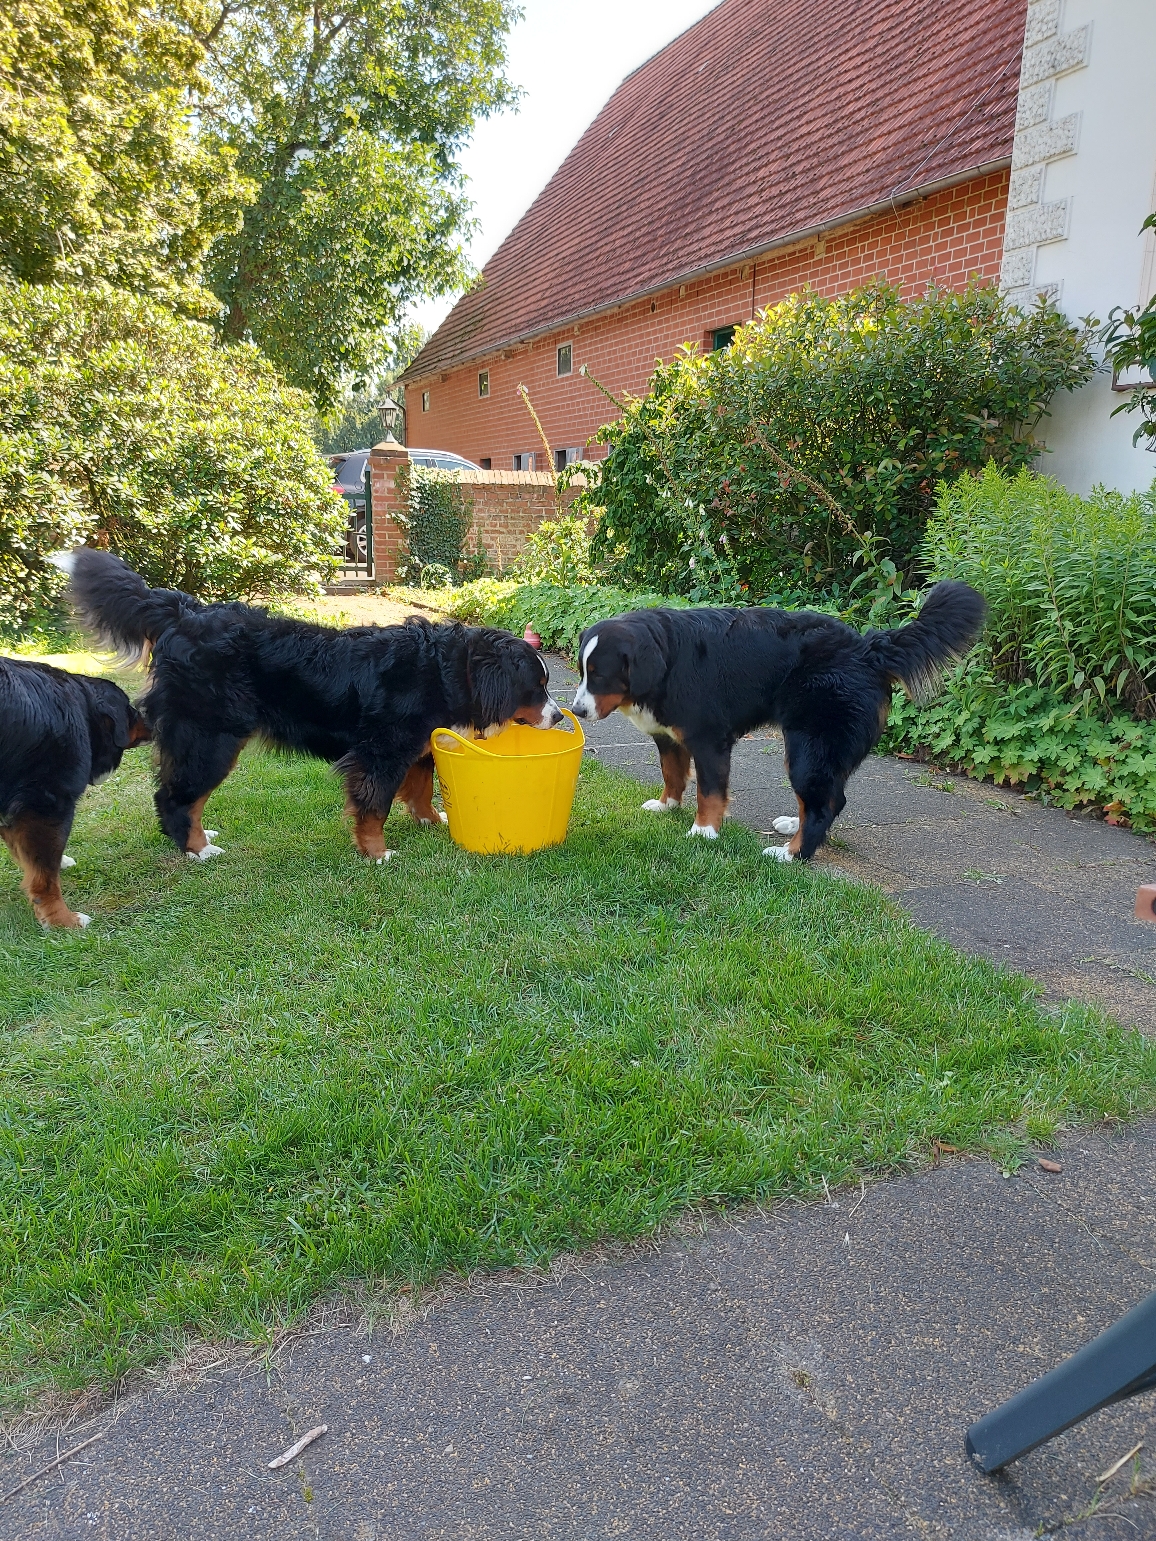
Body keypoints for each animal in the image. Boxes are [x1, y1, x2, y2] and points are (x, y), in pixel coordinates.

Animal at [1, 653, 151, 924]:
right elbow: (45, 876)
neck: (84, 709)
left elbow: (30, 856)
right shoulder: (46, 804)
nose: (152, 720)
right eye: (130, 710)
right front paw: (61, 919)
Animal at [56, 545, 564, 862]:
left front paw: (430, 821)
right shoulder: (380, 752)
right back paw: (198, 849)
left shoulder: (417, 747)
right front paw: (377, 852)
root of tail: (185, 613)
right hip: (211, 737)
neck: (444, 669)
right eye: (536, 687)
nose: (560, 714)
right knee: (176, 795)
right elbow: (374, 805)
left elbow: (420, 787)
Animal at [570, 579, 986, 862]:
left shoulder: (709, 740)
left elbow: (710, 791)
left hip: (808, 748)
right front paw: (667, 805)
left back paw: (792, 853)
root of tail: (869, 648)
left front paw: (704, 831)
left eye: (601, 675)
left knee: (823, 804)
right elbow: (672, 773)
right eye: (583, 670)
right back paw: (792, 828)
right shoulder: (669, 737)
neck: (669, 661)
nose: (578, 710)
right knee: (830, 798)